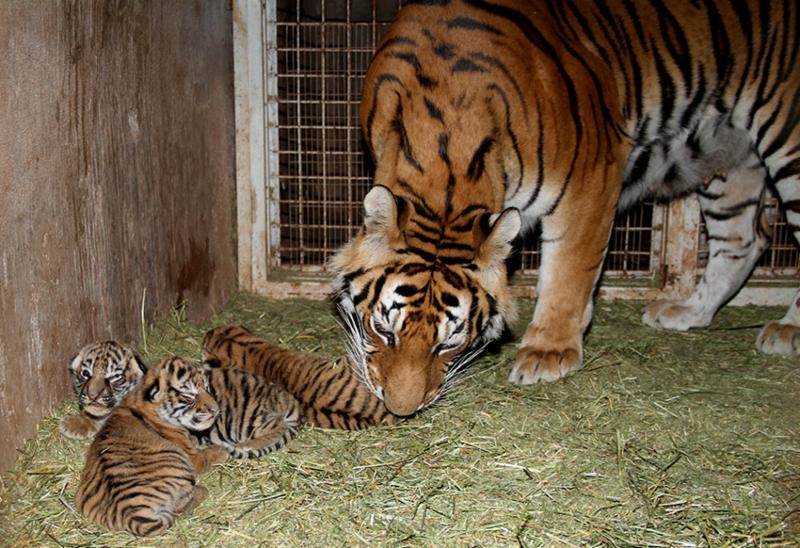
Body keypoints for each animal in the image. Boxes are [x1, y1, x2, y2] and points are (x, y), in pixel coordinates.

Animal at [76, 356, 228, 537]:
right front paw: (224, 450)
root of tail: (132, 513)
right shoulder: (193, 458)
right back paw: (202, 490)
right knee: (180, 508)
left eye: (206, 387)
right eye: (189, 395)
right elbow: (207, 455)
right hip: (179, 464)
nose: (215, 410)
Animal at [329, 0, 800, 416]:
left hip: (787, 134)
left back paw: (788, 329)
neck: (445, 156)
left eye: (447, 343)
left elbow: (569, 272)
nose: (402, 409)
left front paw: (549, 351)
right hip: (726, 154)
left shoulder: (592, 176)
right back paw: (688, 312)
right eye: (383, 330)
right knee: (743, 240)